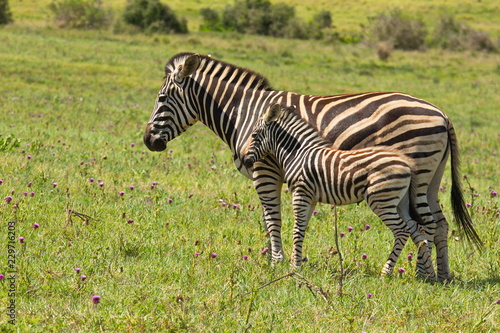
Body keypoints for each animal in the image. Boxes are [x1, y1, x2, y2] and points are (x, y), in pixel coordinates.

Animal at [244, 104, 436, 278]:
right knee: (418, 232)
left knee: (402, 231)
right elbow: (302, 228)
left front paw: (294, 267)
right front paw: (297, 263)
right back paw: (430, 275)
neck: (298, 153)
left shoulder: (300, 192)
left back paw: (386, 272)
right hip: (400, 202)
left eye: (253, 135)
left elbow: (297, 229)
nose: (245, 160)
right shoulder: (310, 197)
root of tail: (407, 164)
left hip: (381, 200)